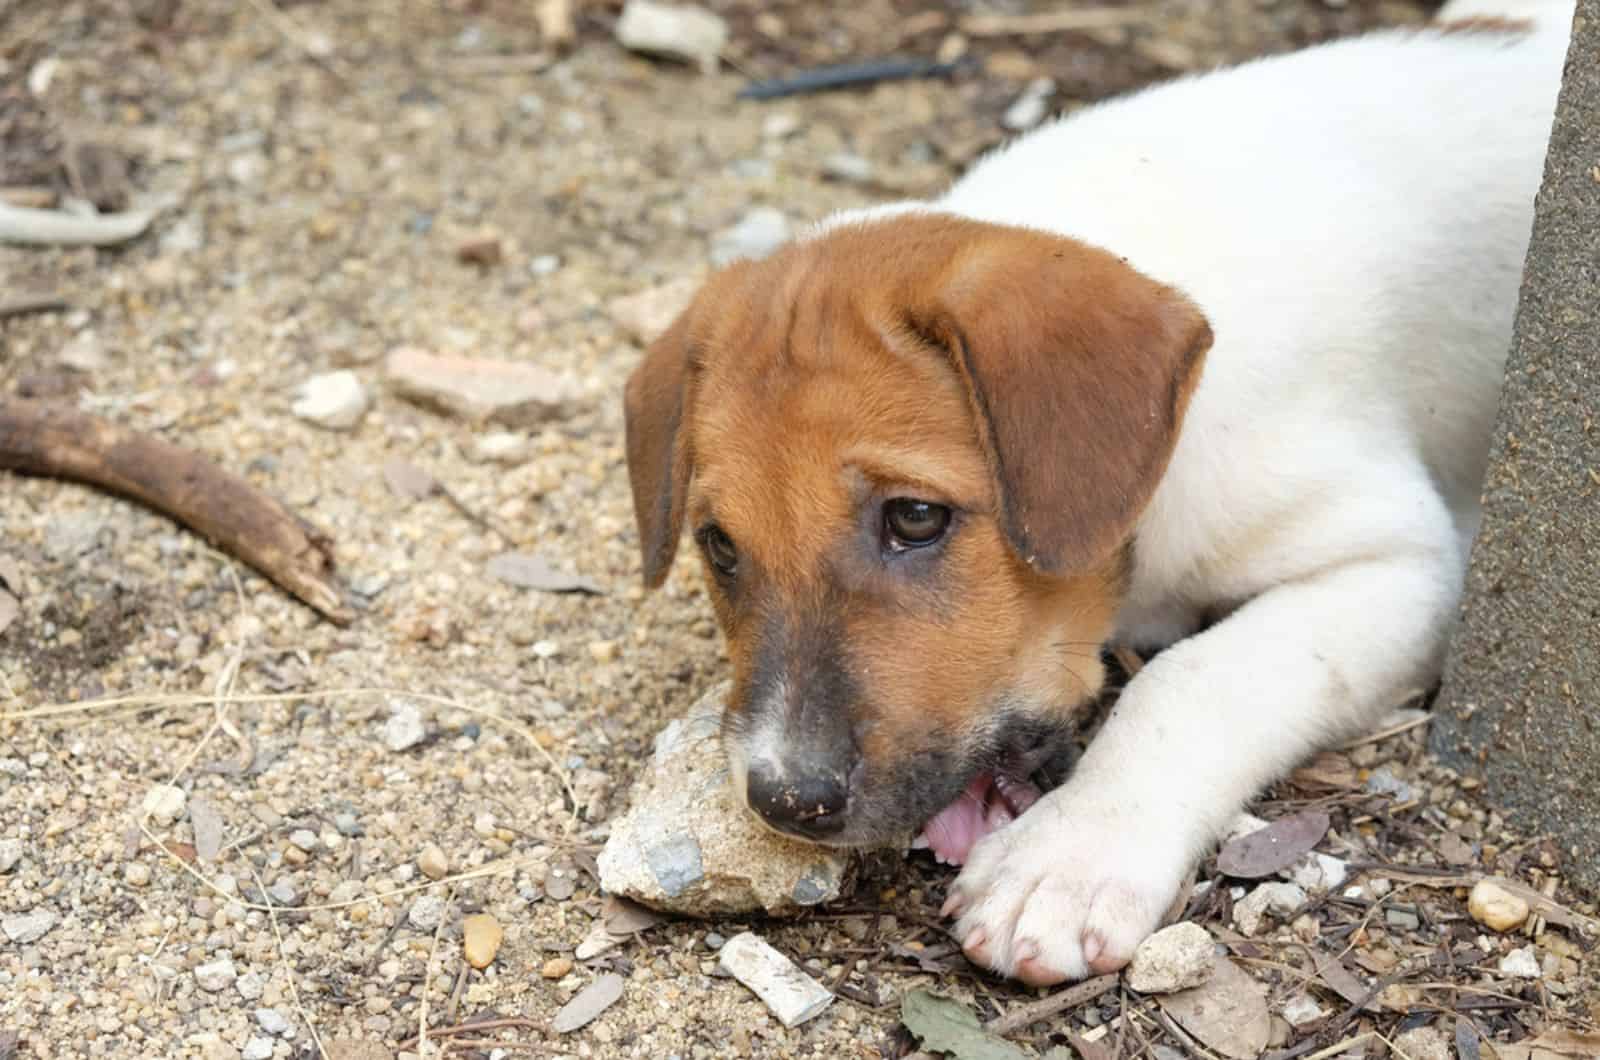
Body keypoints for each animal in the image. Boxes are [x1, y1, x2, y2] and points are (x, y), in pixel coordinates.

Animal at [620, 6, 1561, 986]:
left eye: (915, 517)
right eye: (719, 546)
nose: (784, 799)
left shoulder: (1404, 561)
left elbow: (1192, 677)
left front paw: (1068, 855)